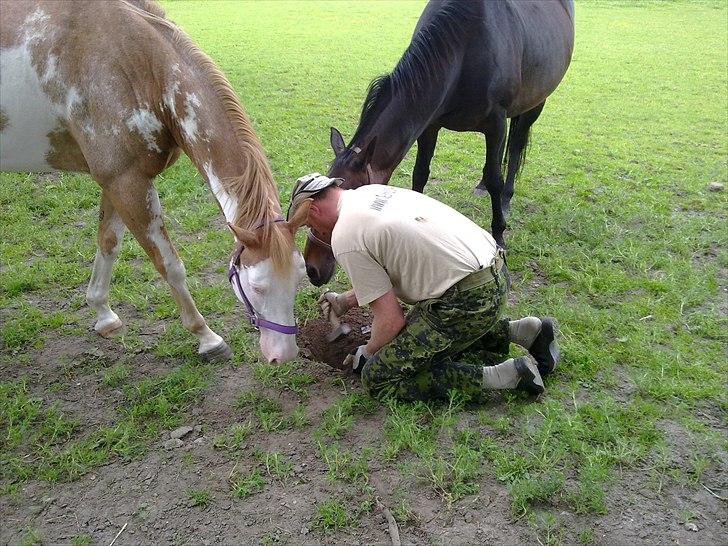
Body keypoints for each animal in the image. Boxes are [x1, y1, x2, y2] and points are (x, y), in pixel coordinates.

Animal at [0, 2, 308, 364]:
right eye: (258, 286)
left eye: (300, 277)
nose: (284, 355)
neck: (136, 62)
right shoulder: (128, 183)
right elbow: (170, 265)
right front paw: (207, 338)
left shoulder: (117, 181)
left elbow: (108, 244)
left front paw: (103, 315)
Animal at [302, 0, 576, 286]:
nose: (312, 268)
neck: (466, 48)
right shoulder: (429, 124)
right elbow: (420, 174)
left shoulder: (496, 124)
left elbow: (495, 178)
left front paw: (499, 236)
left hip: (535, 104)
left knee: (515, 149)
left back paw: (506, 200)